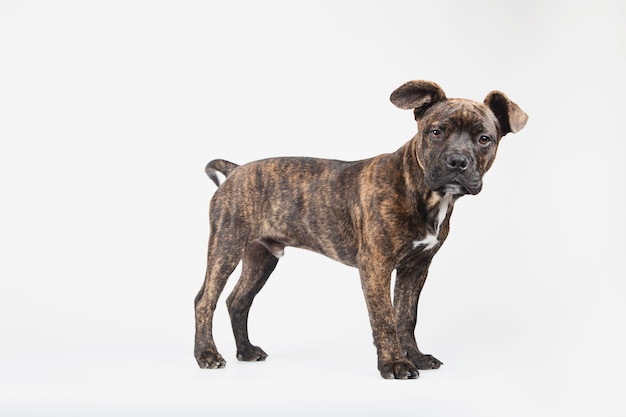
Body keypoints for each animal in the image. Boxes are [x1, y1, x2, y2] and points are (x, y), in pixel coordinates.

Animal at [193, 79, 524, 378]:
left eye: (484, 139)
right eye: (436, 132)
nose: (457, 161)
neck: (422, 190)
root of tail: (235, 170)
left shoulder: (416, 268)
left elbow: (407, 316)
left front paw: (415, 357)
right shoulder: (376, 265)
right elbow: (385, 317)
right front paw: (394, 364)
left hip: (261, 257)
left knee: (238, 301)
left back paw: (246, 351)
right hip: (226, 247)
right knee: (205, 300)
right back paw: (207, 355)